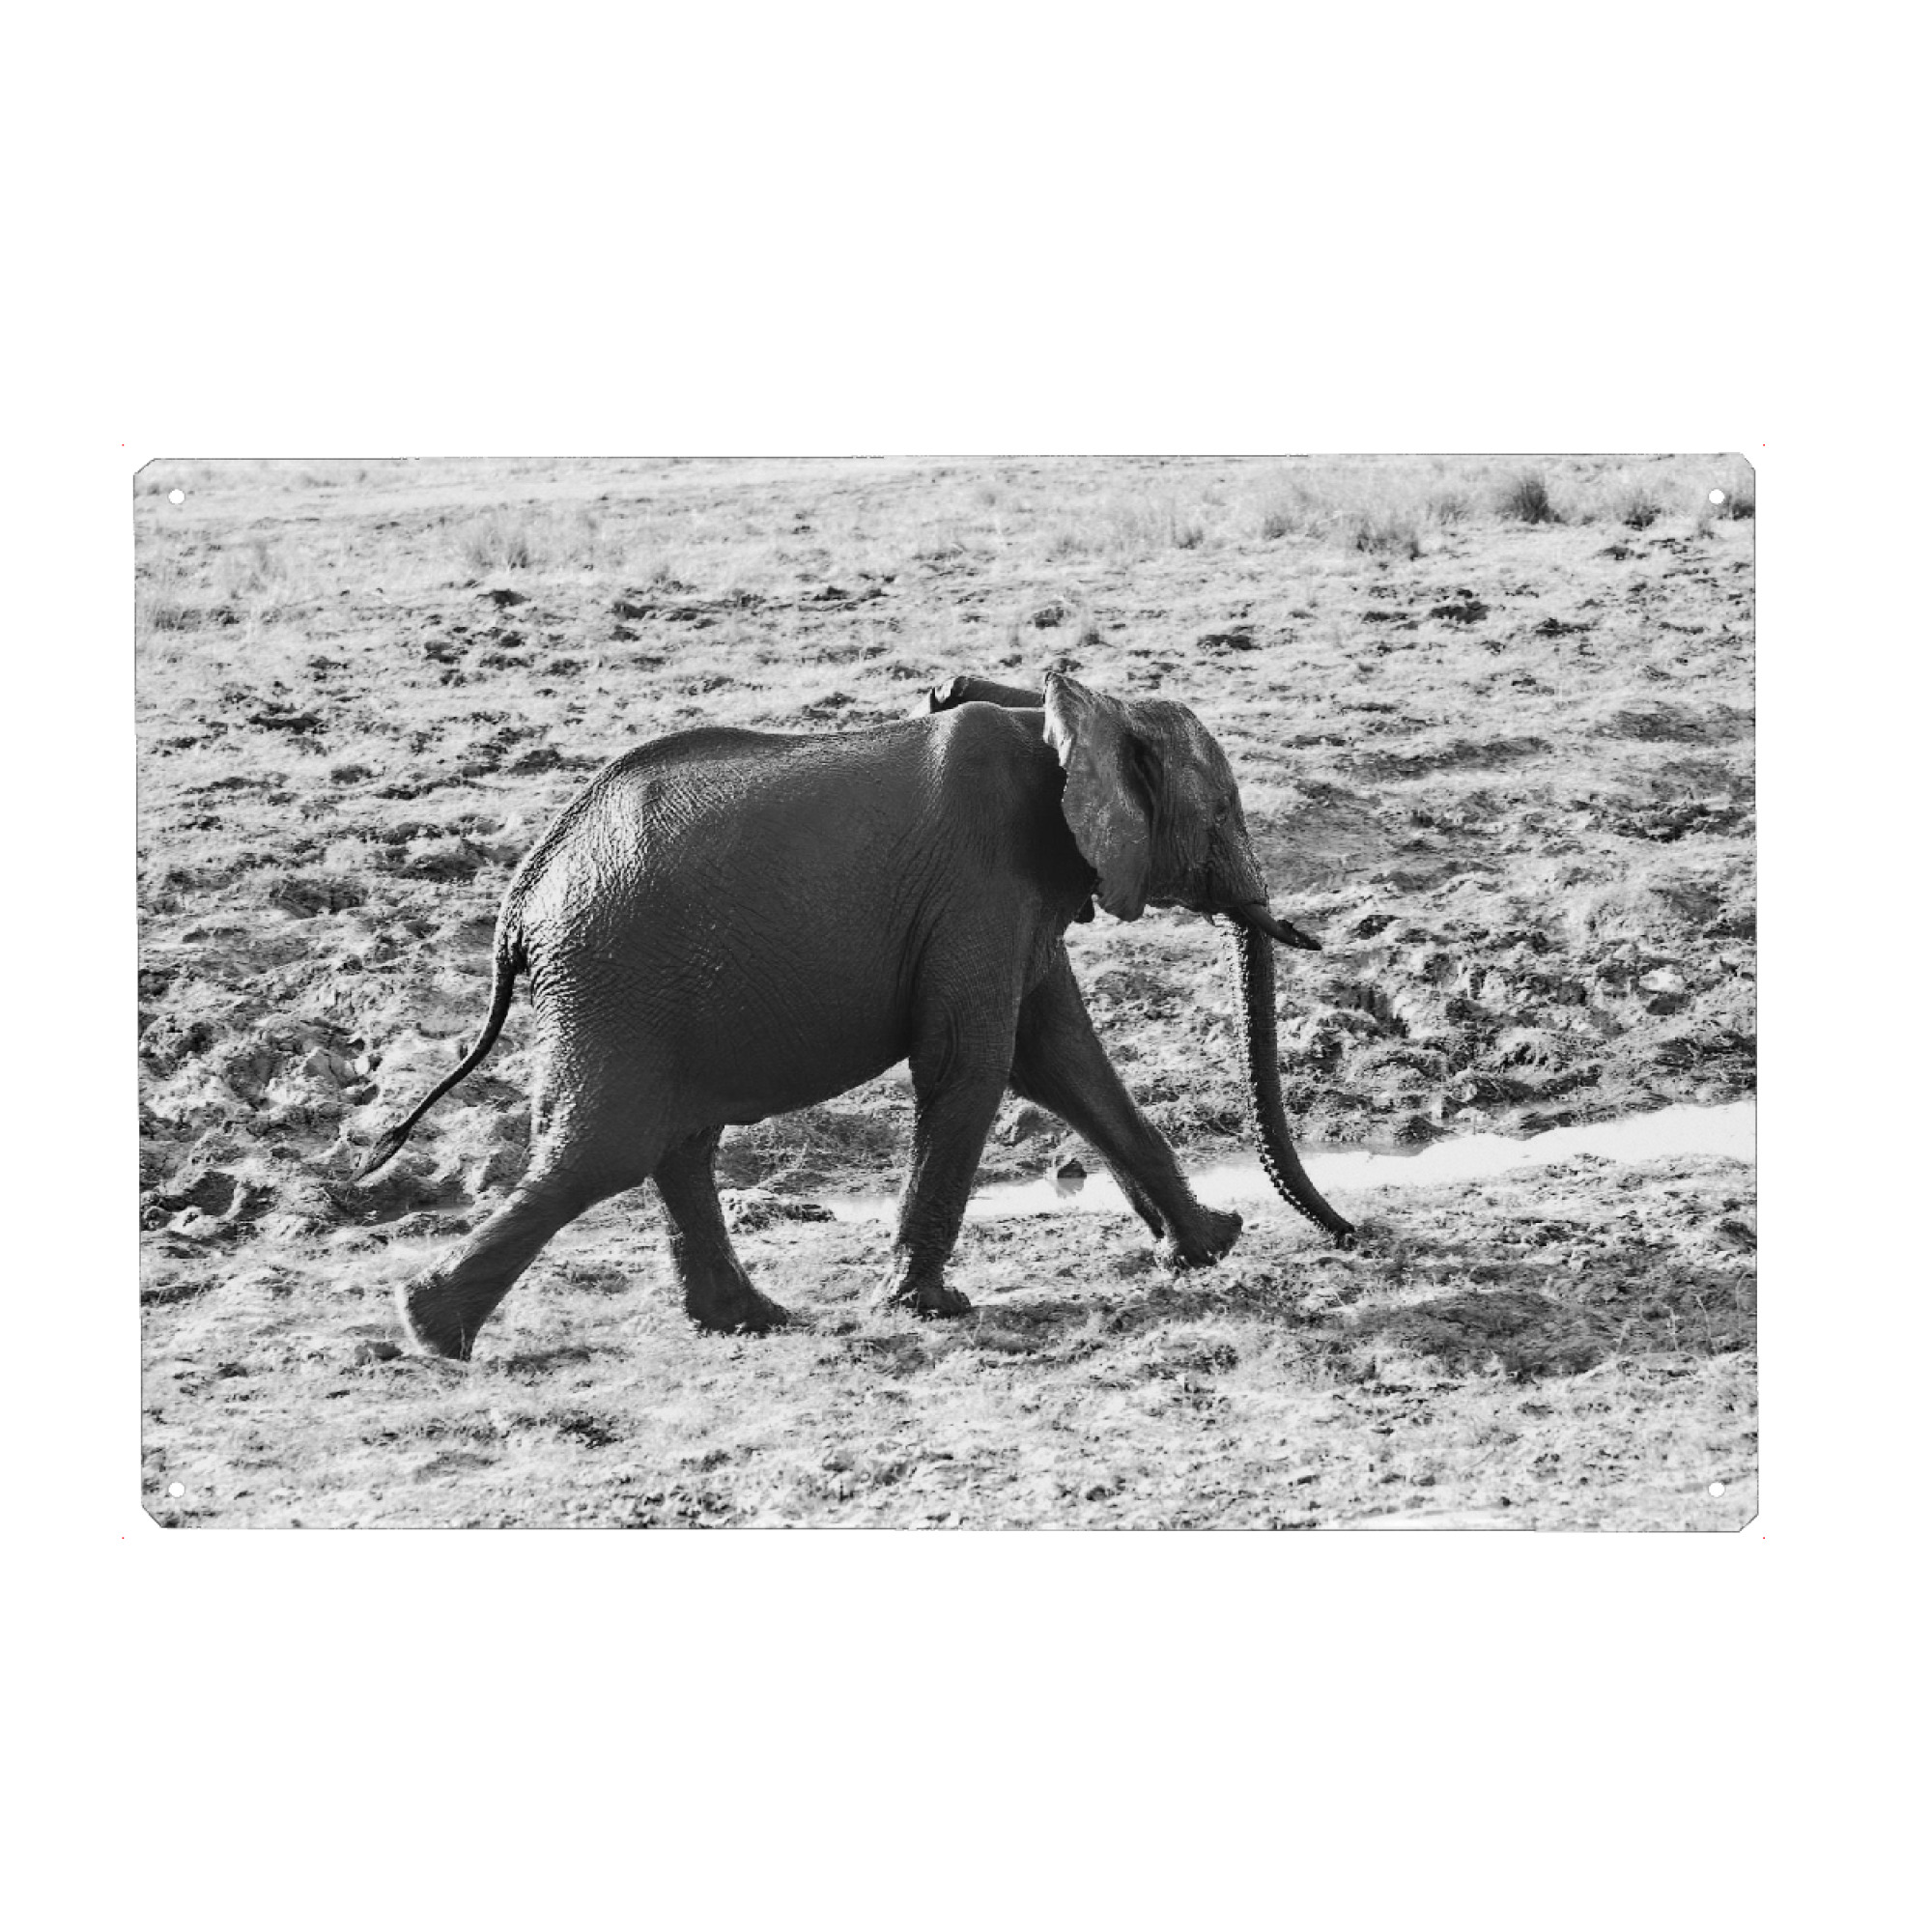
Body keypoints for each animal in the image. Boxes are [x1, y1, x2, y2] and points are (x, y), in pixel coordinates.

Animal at [355, 667, 1356, 1359]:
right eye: (1222, 816)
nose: (1352, 1235)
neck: (1065, 717)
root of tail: (520, 900)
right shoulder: (981, 887)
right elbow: (974, 1063)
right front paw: (928, 1308)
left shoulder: (1019, 900)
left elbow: (1060, 1058)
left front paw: (1210, 1247)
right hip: (615, 983)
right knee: (606, 1150)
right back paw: (432, 1333)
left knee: (673, 1147)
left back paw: (748, 1321)